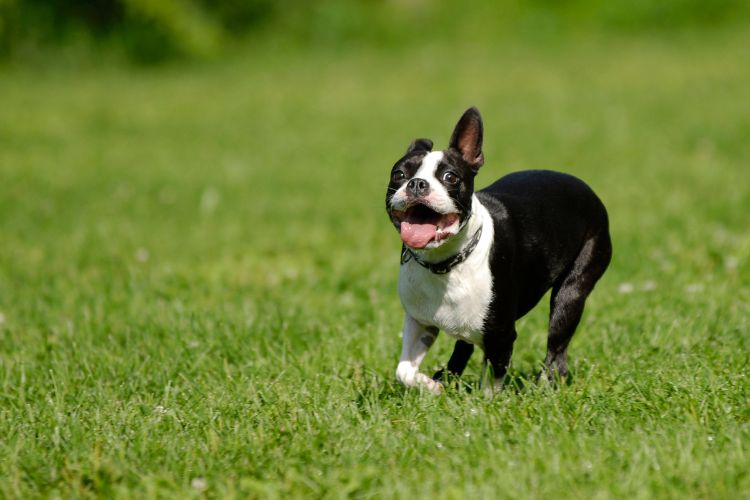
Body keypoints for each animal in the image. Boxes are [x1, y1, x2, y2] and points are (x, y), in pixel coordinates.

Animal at [388, 107, 612, 392]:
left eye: (450, 177)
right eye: (399, 175)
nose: (417, 183)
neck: (445, 263)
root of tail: (586, 189)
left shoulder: (501, 336)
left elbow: (492, 384)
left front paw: (483, 401)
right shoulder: (420, 322)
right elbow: (404, 370)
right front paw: (431, 387)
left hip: (571, 293)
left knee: (557, 349)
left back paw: (545, 386)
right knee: (464, 346)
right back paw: (445, 378)